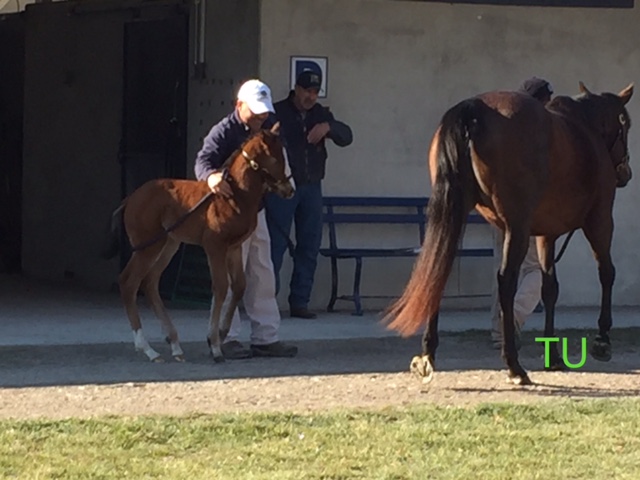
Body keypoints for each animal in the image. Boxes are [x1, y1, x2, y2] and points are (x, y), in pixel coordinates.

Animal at [104, 124, 294, 364]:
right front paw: (215, 346)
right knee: (129, 282)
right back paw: (148, 349)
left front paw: (221, 333)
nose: (290, 190)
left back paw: (175, 345)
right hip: (148, 246)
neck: (234, 195)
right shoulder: (214, 246)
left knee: (150, 282)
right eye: (276, 159)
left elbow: (239, 286)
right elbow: (221, 287)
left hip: (169, 244)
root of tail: (131, 198)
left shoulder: (233, 248)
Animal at [382, 80, 632, 384]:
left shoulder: (546, 235)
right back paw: (514, 365)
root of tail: (474, 108)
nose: (626, 174)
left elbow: (550, 288)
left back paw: (429, 354)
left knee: (438, 271)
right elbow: (606, 273)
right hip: (518, 227)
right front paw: (602, 339)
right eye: (626, 124)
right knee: (505, 281)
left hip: (457, 213)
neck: (585, 130)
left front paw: (553, 355)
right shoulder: (599, 220)